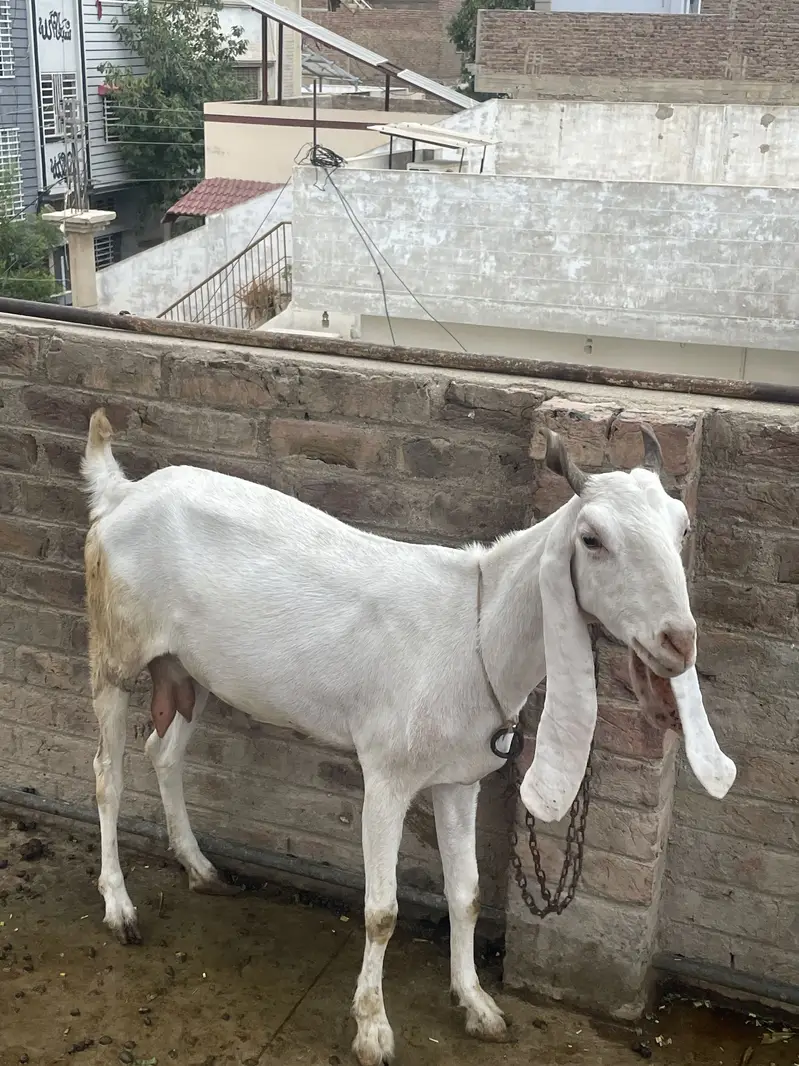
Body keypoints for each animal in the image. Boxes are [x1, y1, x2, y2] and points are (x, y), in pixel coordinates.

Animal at [82, 408, 735, 1066]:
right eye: (592, 539)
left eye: (681, 528)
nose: (678, 640)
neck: (475, 632)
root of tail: (121, 493)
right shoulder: (387, 775)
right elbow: (381, 912)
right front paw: (372, 1028)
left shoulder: (460, 779)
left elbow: (467, 893)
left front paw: (477, 1004)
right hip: (114, 647)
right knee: (108, 773)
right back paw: (119, 908)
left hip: (189, 668)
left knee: (163, 752)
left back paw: (200, 868)